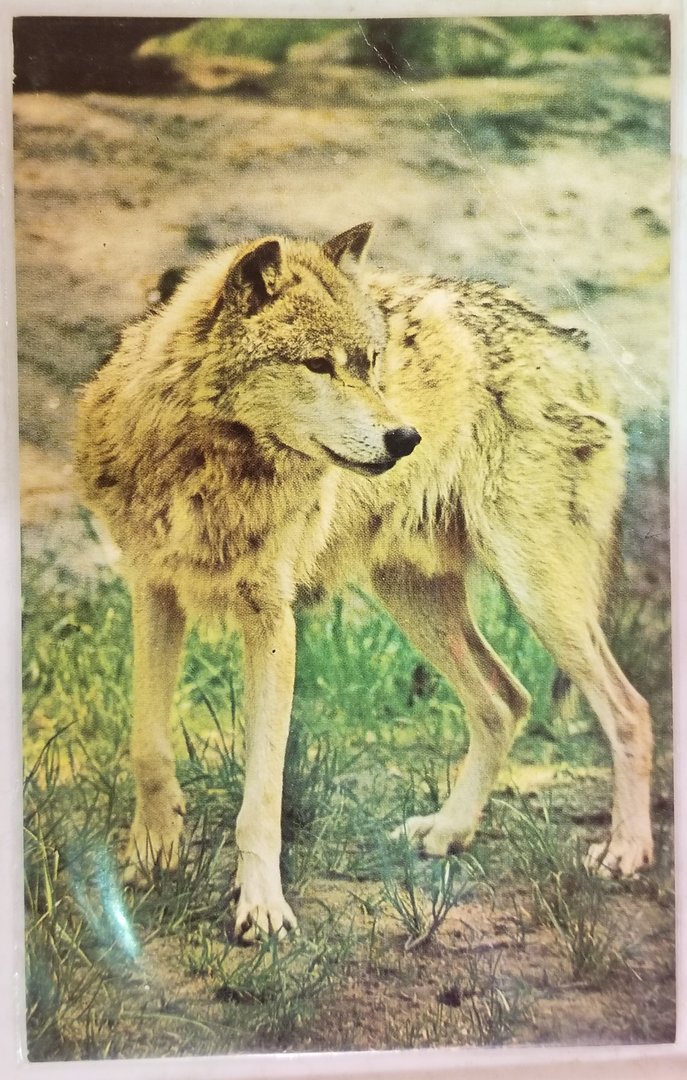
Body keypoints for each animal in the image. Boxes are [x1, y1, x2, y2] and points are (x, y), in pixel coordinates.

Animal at [75, 223, 654, 941]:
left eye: (371, 361)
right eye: (318, 366)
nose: (405, 437)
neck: (208, 467)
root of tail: (568, 339)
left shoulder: (273, 619)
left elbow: (261, 794)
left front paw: (260, 908)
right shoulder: (153, 591)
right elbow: (149, 749)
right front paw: (149, 862)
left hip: (540, 595)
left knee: (629, 710)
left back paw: (626, 849)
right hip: (415, 601)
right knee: (506, 701)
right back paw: (449, 831)